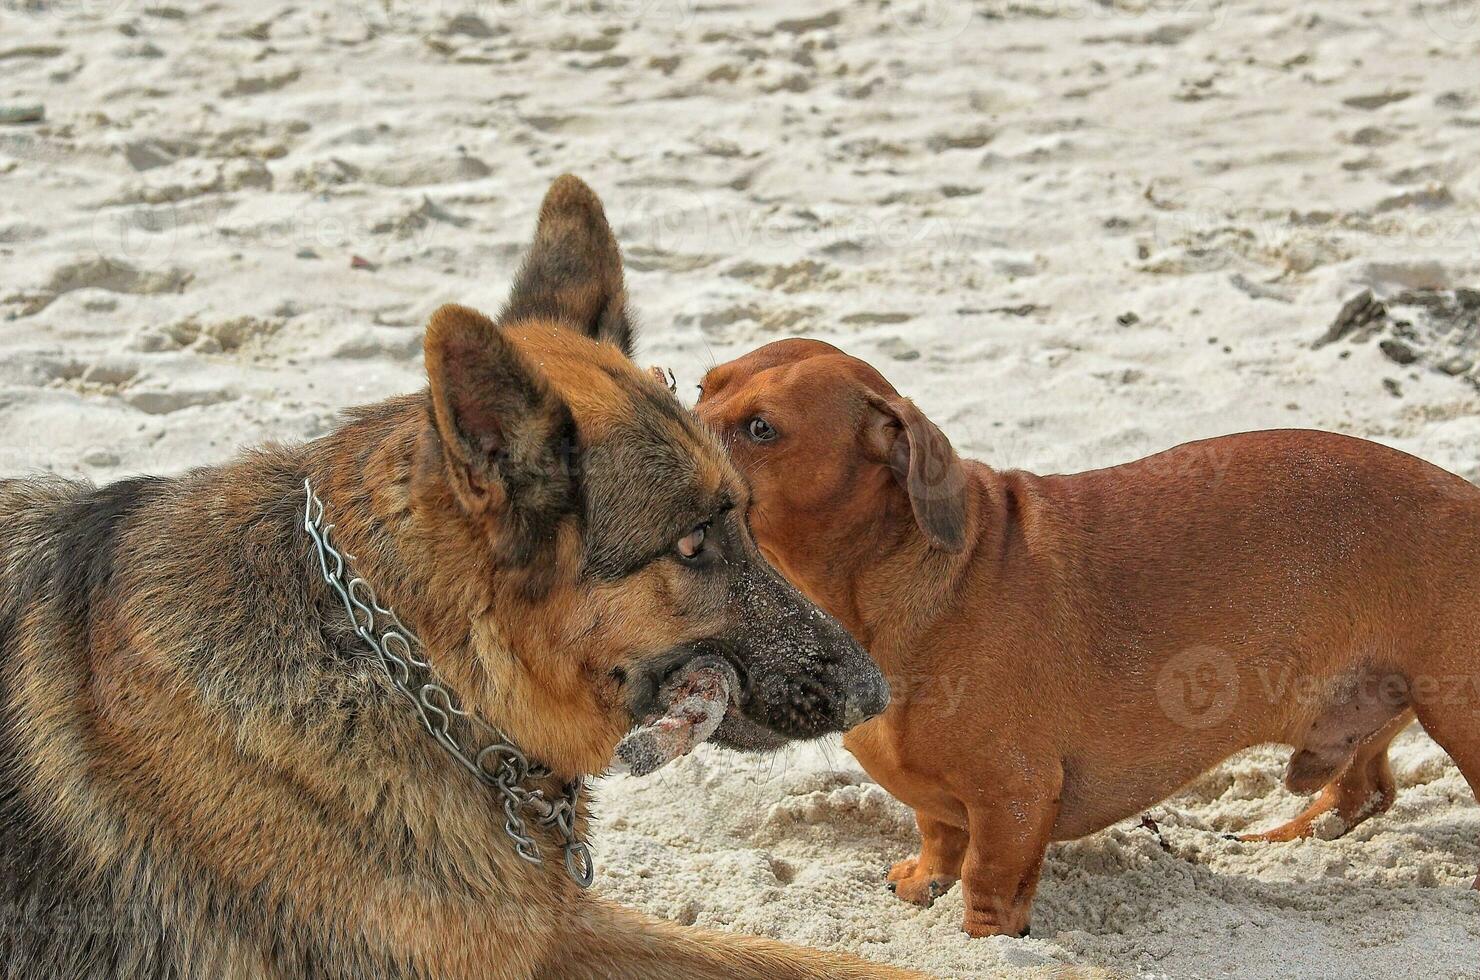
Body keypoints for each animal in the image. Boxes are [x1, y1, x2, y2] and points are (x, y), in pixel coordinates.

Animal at [0, 178, 911, 980]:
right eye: (690, 544)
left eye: (745, 517)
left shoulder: (558, 932)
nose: (876, 691)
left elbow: (815, 960)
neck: (408, 671)